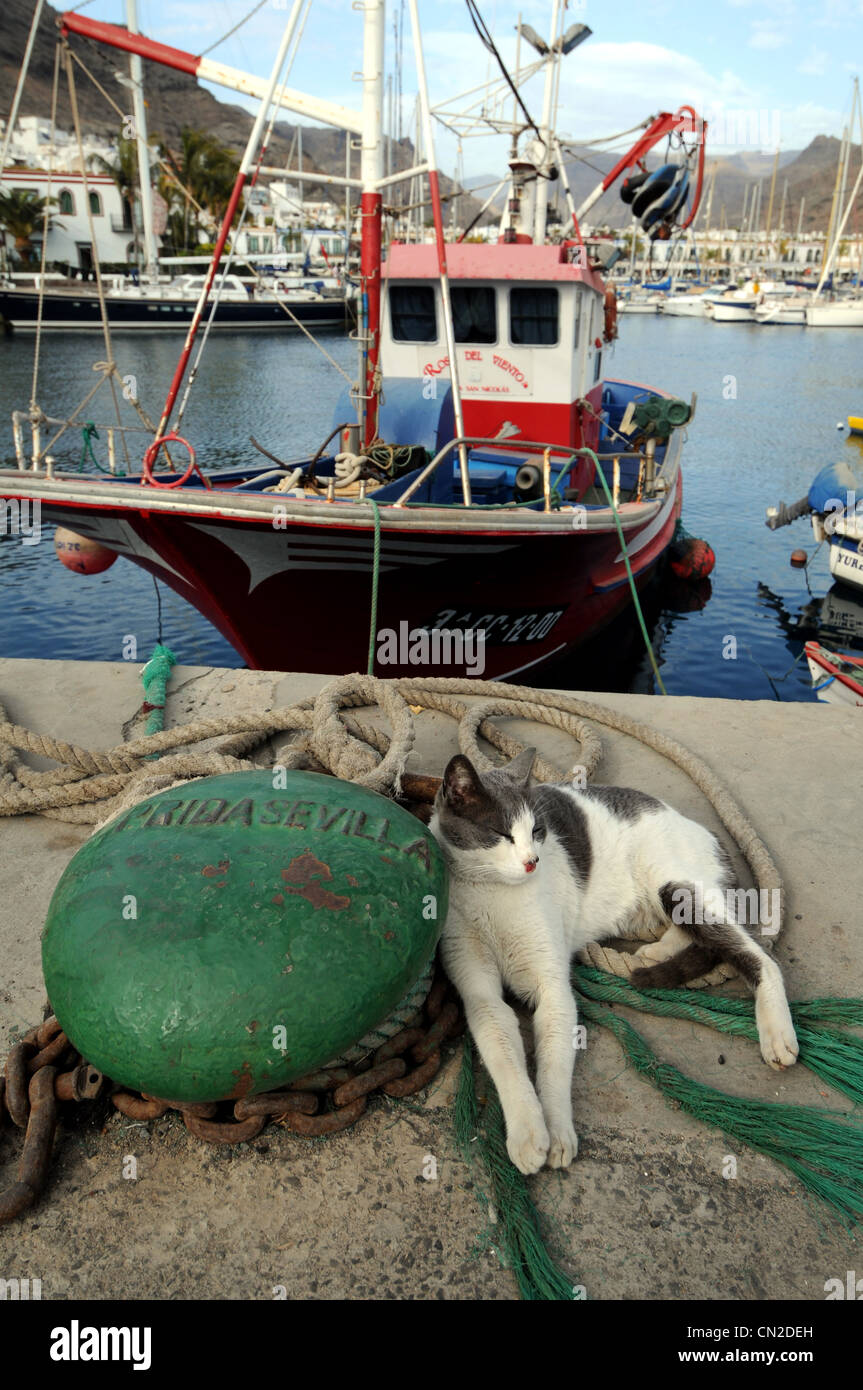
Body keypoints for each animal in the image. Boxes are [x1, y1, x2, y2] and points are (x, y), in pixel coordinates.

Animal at [428, 750, 794, 1173]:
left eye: (537, 831)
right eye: (502, 834)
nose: (533, 861)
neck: (494, 895)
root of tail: (703, 830)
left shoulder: (554, 989)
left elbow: (554, 1063)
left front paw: (557, 1130)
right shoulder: (479, 991)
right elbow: (502, 1048)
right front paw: (528, 1133)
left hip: (677, 884)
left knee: (757, 954)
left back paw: (777, 1033)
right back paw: (655, 953)